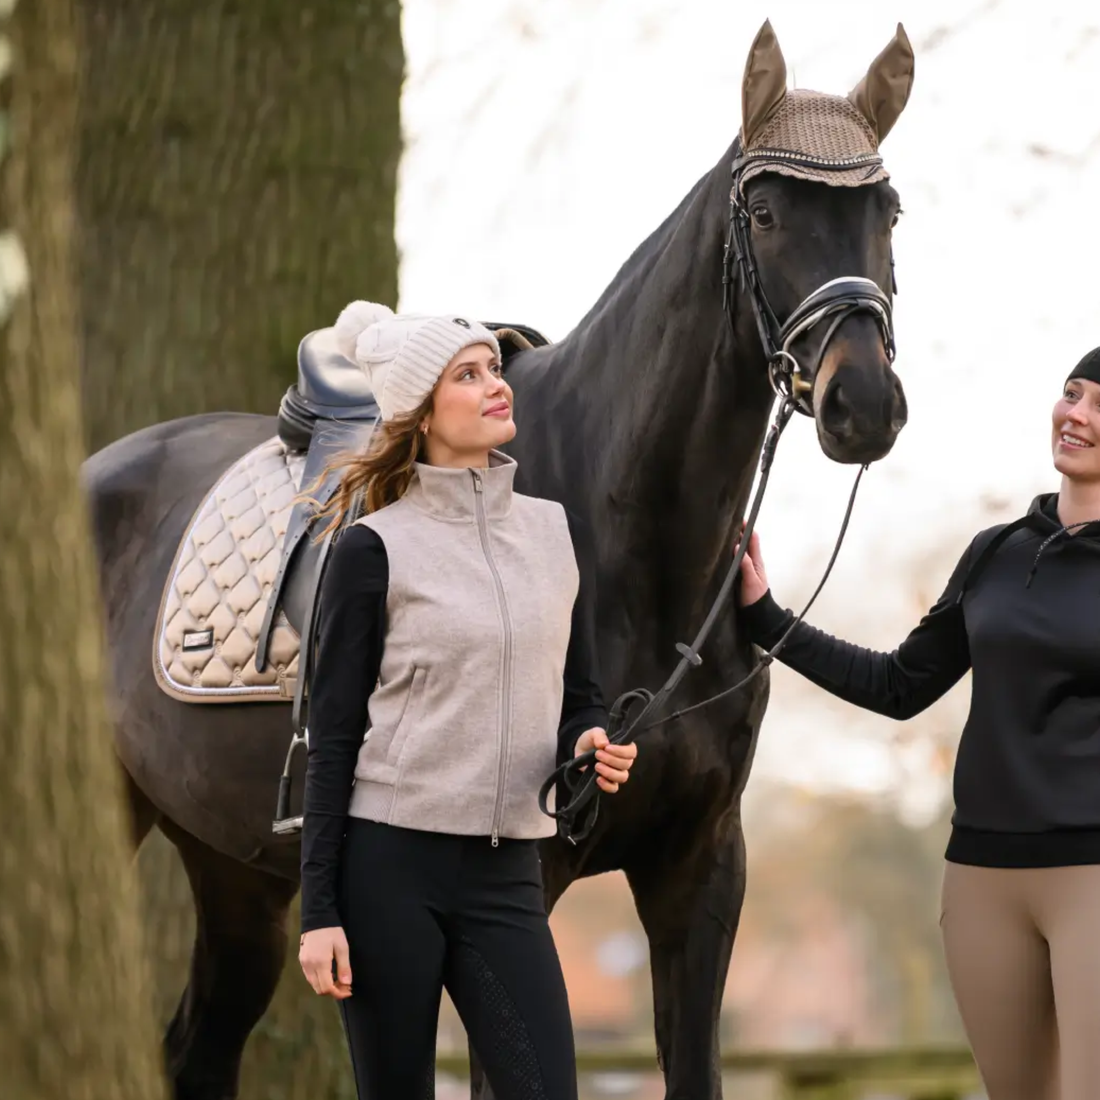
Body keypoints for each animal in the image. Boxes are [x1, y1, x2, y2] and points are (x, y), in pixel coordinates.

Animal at [83, 20, 914, 1100]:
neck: (628, 542)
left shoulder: (700, 868)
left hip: (234, 871)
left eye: (887, 212)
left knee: (198, 1048)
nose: (865, 405)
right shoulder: (530, 879)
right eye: (766, 213)